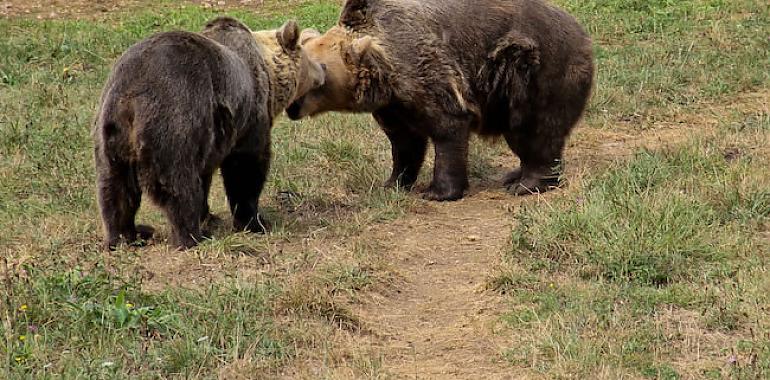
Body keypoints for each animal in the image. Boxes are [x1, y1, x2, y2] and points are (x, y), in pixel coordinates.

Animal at [93, 17, 324, 249]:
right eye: (306, 55)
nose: (322, 70)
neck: (267, 71)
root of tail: (131, 98)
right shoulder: (248, 116)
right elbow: (246, 168)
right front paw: (255, 222)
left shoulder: (213, 137)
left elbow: (206, 175)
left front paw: (210, 216)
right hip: (176, 115)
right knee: (178, 185)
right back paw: (191, 236)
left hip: (111, 133)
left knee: (115, 188)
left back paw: (126, 235)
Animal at [288, 0, 592, 200]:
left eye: (318, 74)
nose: (292, 105)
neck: (386, 72)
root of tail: (583, 33)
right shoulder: (394, 105)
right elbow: (405, 144)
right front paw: (393, 182)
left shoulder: (428, 72)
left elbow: (447, 128)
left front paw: (438, 191)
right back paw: (513, 175)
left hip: (535, 70)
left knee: (536, 130)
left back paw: (527, 184)